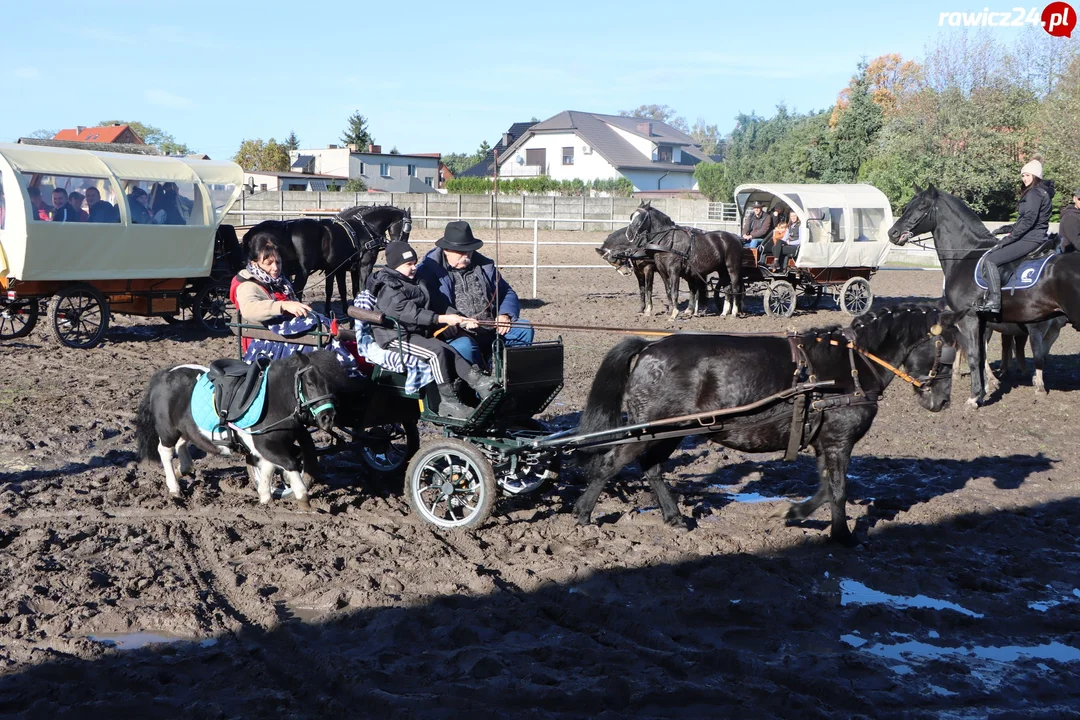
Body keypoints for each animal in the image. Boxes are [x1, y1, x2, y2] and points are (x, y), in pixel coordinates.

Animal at [132, 351, 347, 509]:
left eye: (330, 383)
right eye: (310, 383)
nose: (328, 417)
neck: (275, 401)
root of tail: (164, 374)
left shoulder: (269, 446)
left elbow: (269, 466)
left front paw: (265, 495)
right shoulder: (264, 445)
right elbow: (289, 463)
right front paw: (303, 498)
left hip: (183, 428)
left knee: (182, 446)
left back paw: (181, 470)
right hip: (168, 429)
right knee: (165, 452)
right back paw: (174, 487)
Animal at [243, 202, 410, 315]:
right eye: (407, 227)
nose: (402, 245)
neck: (364, 229)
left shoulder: (338, 268)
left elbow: (340, 290)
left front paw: (341, 312)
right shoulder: (364, 265)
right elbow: (361, 288)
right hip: (302, 271)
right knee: (296, 291)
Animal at [570, 304, 959, 546]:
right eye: (949, 351)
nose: (942, 402)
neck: (851, 366)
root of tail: (650, 347)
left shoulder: (824, 442)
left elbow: (825, 487)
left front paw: (792, 512)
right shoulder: (839, 441)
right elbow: (838, 489)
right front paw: (843, 537)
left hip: (668, 432)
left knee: (651, 468)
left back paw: (674, 517)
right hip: (650, 429)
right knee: (611, 464)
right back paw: (583, 514)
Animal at [885, 184, 1071, 405]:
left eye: (922, 206)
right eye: (908, 206)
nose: (893, 233)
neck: (966, 255)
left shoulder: (971, 319)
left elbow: (976, 356)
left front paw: (974, 397)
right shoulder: (983, 322)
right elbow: (981, 355)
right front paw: (984, 389)